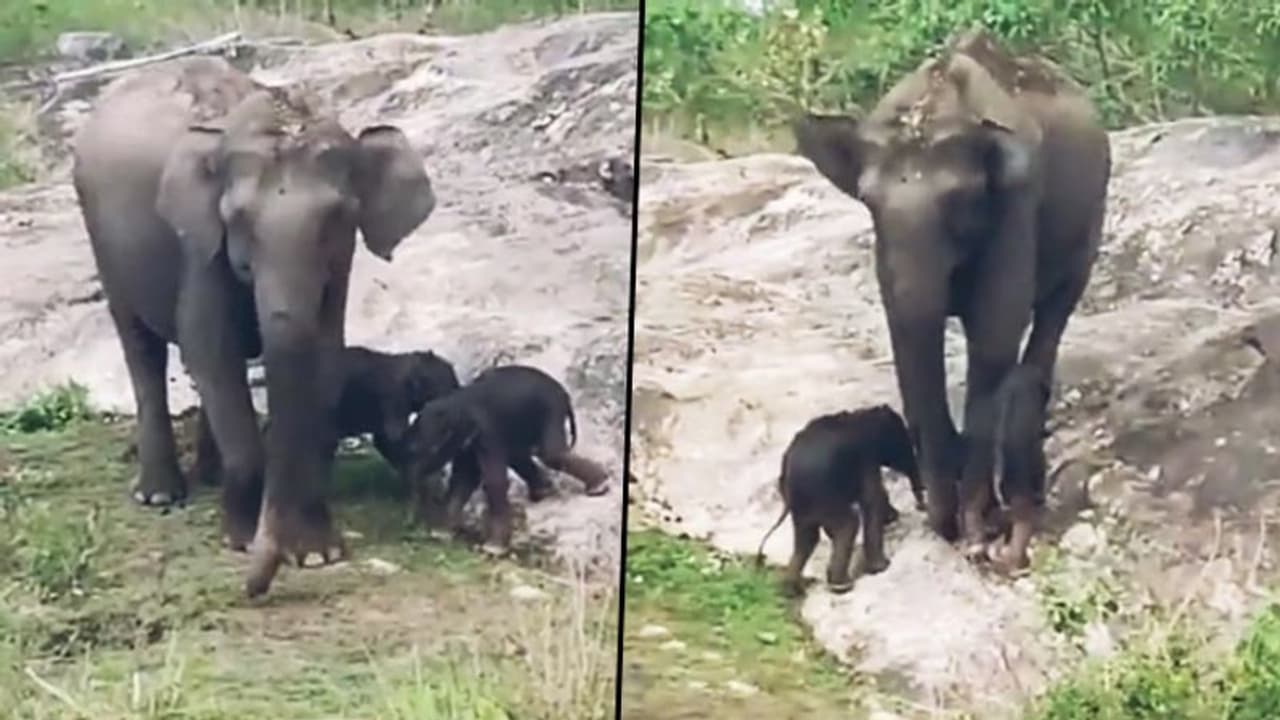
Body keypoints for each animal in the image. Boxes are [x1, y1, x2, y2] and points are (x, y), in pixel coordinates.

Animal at [71, 56, 436, 597]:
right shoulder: (199, 247)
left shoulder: (339, 267)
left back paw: (208, 476)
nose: (253, 588)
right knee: (142, 347)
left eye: (337, 217)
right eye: (238, 219)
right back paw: (160, 495)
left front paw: (318, 553)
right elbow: (211, 351)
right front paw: (241, 540)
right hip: (104, 243)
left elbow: (324, 356)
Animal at [401, 364, 611, 554]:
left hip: (551, 408)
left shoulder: (486, 432)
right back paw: (544, 491)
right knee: (519, 454)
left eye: (430, 449)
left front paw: (493, 548)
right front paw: (441, 533)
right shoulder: (466, 442)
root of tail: (565, 395)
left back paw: (598, 487)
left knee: (550, 453)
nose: (410, 524)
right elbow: (462, 479)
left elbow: (493, 481)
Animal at [755, 404, 922, 596]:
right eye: (903, 439)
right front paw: (882, 566)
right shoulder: (865, 457)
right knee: (849, 524)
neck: (863, 414)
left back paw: (790, 590)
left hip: (802, 506)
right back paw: (841, 586)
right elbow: (873, 498)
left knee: (806, 539)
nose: (921, 505)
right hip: (825, 497)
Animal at [791, 29, 1110, 555]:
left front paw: (978, 524)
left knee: (1056, 307)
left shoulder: (1017, 203)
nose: (941, 520)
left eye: (960, 200)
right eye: (868, 202)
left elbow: (995, 331)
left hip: (1090, 218)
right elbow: (904, 328)